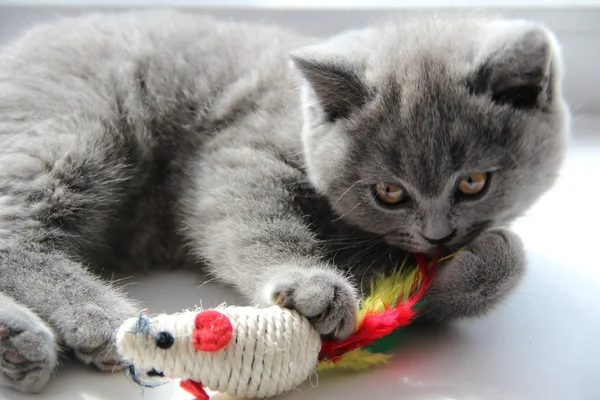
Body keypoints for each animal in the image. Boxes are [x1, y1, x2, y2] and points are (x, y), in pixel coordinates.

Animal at [0, 9, 568, 394]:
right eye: (389, 192)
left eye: (473, 182)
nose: (438, 234)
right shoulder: (236, 154)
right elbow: (254, 220)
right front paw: (310, 286)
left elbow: (485, 263)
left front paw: (469, 265)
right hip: (77, 127)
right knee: (14, 232)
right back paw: (91, 317)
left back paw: (18, 343)